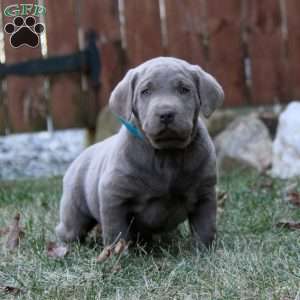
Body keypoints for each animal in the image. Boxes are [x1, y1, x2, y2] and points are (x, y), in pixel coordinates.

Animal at [56, 56, 225, 248]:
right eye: (146, 91)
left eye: (184, 90)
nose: (166, 114)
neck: (167, 155)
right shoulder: (113, 197)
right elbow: (116, 232)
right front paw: (117, 253)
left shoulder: (205, 194)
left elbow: (205, 228)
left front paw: (204, 251)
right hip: (74, 210)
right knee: (70, 229)